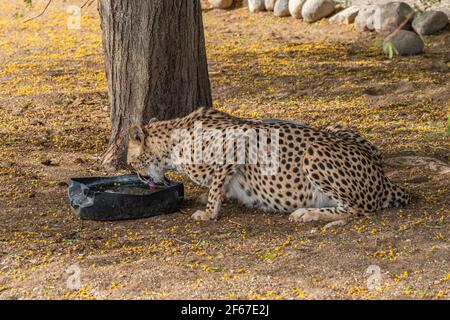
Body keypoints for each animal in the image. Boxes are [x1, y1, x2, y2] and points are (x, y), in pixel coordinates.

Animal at [127, 107, 412, 225]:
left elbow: (216, 183)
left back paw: (308, 213)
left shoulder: (239, 138)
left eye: (131, 162)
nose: (139, 178)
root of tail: (384, 179)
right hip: (334, 128)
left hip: (313, 152)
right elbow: (217, 185)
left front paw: (209, 212)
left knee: (357, 209)